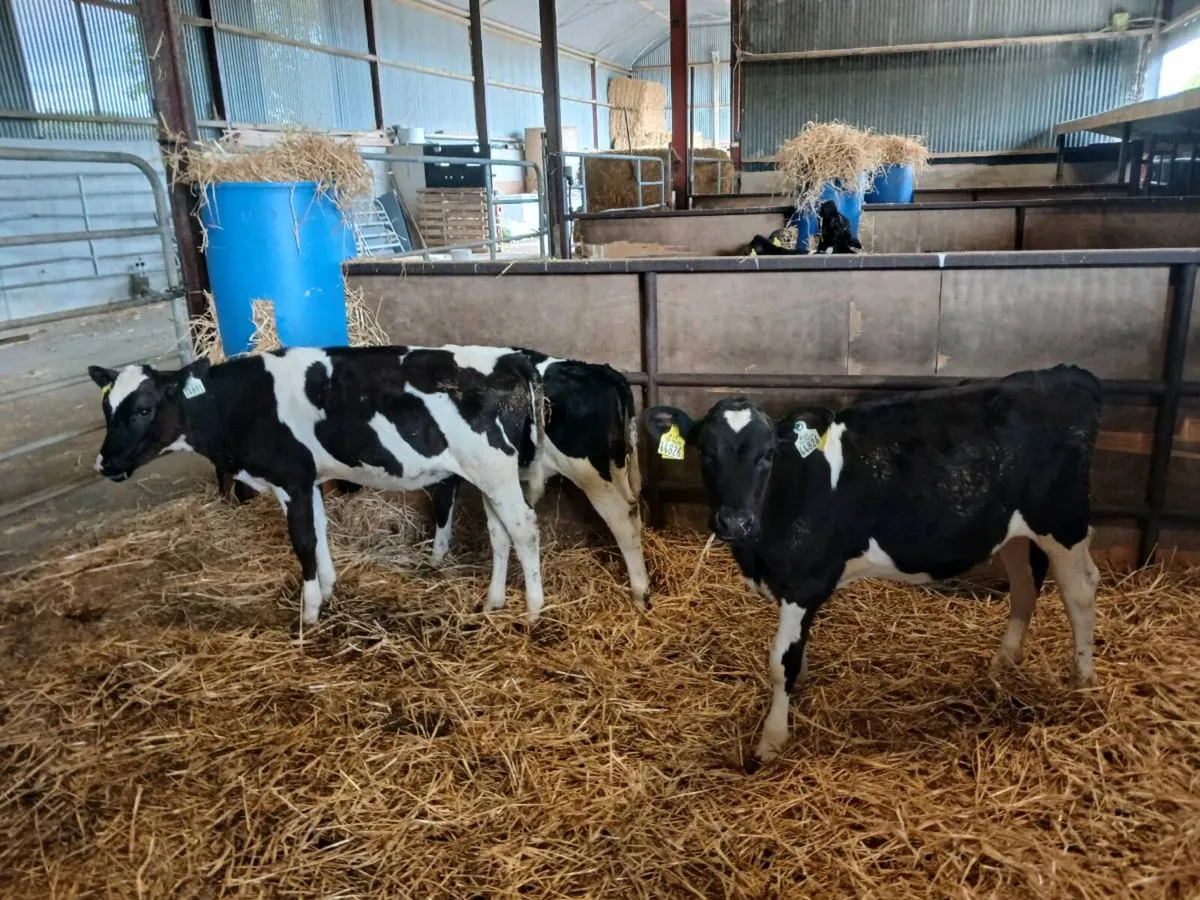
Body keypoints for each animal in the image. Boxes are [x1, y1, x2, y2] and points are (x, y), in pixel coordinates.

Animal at [88, 345, 548, 627]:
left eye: (143, 409)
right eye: (107, 407)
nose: (105, 462)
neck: (241, 404)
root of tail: (508, 358)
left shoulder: (290, 478)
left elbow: (304, 541)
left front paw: (308, 611)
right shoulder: (307, 480)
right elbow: (321, 530)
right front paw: (327, 587)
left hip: (494, 469)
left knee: (525, 529)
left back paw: (533, 609)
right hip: (487, 475)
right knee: (499, 533)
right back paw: (493, 601)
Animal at [424, 349, 649, 609]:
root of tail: (603, 371)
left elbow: (443, 505)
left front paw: (435, 561)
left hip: (588, 472)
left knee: (622, 518)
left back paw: (640, 592)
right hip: (616, 465)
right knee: (633, 509)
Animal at [642, 365, 1103, 771]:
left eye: (767, 455)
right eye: (705, 452)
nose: (734, 522)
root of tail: (1067, 374)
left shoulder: (802, 581)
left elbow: (780, 663)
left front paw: (771, 740)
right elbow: (796, 657)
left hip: (1063, 522)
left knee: (1081, 591)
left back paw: (1081, 684)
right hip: (1010, 528)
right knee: (1025, 586)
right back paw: (1003, 663)